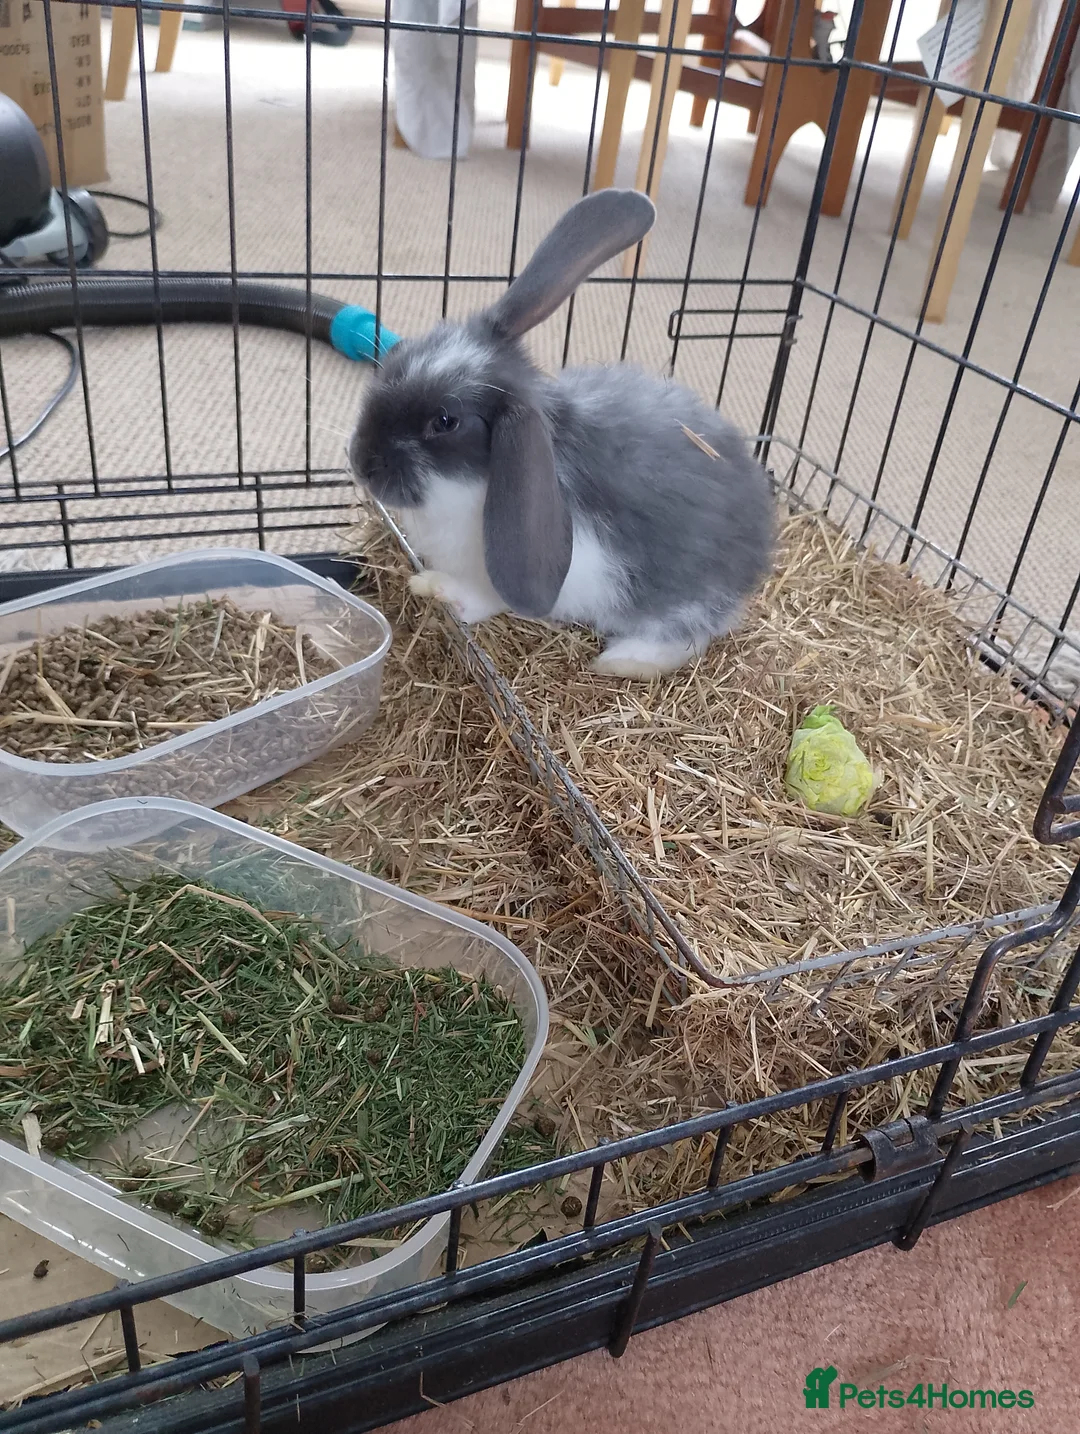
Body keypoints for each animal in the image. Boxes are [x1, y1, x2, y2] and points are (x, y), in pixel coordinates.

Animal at [347, 188, 774, 679]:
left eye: (445, 421)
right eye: (396, 357)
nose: (359, 461)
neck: (469, 486)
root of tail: (760, 544)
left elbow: (483, 597)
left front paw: (440, 591)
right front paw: (424, 582)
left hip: (682, 598)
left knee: (686, 634)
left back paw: (619, 662)